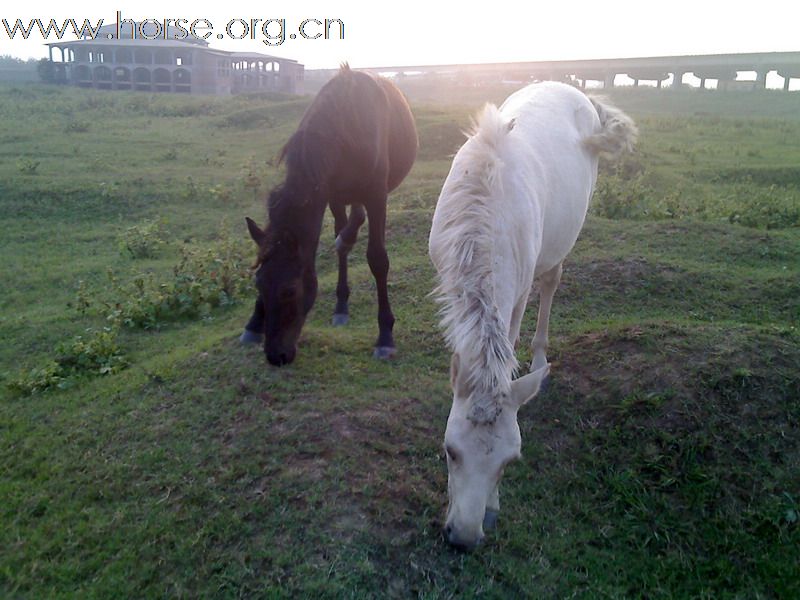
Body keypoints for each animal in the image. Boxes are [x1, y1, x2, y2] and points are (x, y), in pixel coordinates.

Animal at [241, 64, 418, 366]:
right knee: (345, 232)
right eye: (258, 284)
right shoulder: (329, 193)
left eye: (290, 290)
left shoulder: (377, 196)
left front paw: (385, 337)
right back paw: (341, 305)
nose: (276, 355)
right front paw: (253, 324)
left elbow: (377, 259)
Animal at [428, 82, 636, 552]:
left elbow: (511, 333)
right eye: (450, 450)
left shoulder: (518, 290)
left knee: (552, 281)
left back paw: (540, 359)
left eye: (511, 460)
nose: (464, 536)